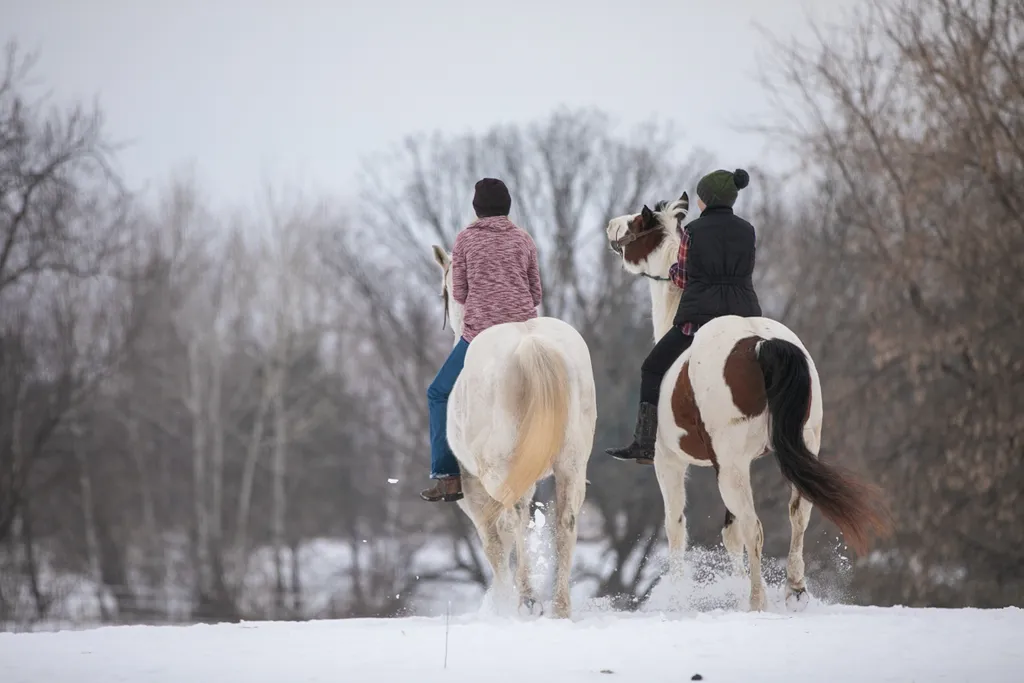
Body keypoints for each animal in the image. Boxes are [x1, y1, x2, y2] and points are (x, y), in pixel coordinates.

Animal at [430, 244, 598, 619]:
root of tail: (530, 343)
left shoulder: (473, 489)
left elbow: (494, 542)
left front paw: (501, 599)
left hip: (499, 469)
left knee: (513, 519)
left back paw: (526, 597)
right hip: (571, 464)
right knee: (565, 522)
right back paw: (560, 607)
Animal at [604, 193, 891, 611]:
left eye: (638, 225)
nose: (610, 226)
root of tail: (761, 343)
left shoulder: (671, 463)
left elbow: (676, 530)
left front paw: (679, 595)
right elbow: (731, 534)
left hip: (730, 467)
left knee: (754, 527)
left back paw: (758, 600)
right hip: (789, 450)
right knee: (796, 516)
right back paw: (794, 590)